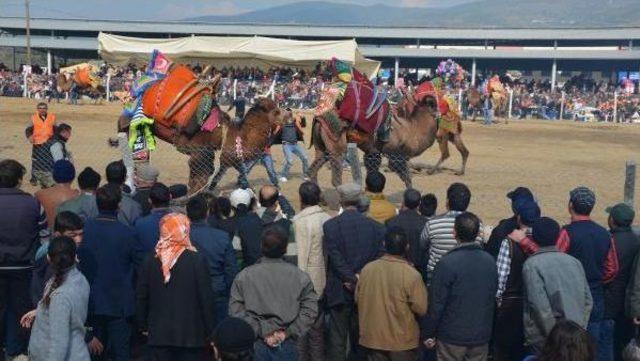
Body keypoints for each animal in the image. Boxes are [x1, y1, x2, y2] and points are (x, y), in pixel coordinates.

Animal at [308, 89, 470, 188]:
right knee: (335, 177)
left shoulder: (373, 153)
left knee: (314, 168)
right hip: (337, 146)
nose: (453, 110)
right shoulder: (397, 156)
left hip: (322, 147)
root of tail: (318, 117)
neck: (413, 128)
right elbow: (408, 179)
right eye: (436, 102)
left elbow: (373, 174)